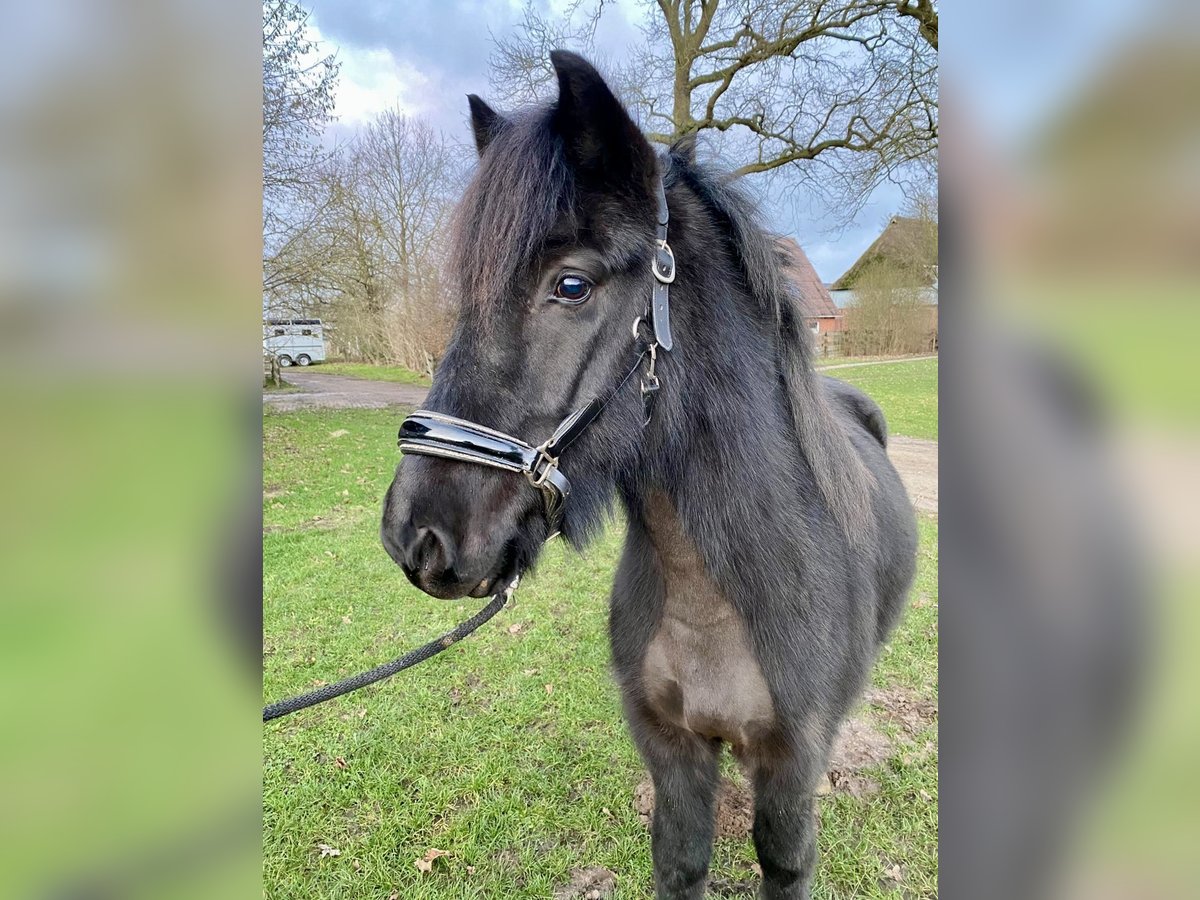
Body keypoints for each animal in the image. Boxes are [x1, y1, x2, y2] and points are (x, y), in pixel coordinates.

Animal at [384, 51, 916, 900]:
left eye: (571, 285)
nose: (420, 533)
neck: (723, 588)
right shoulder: (671, 752)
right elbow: (681, 858)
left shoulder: (790, 767)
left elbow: (786, 859)